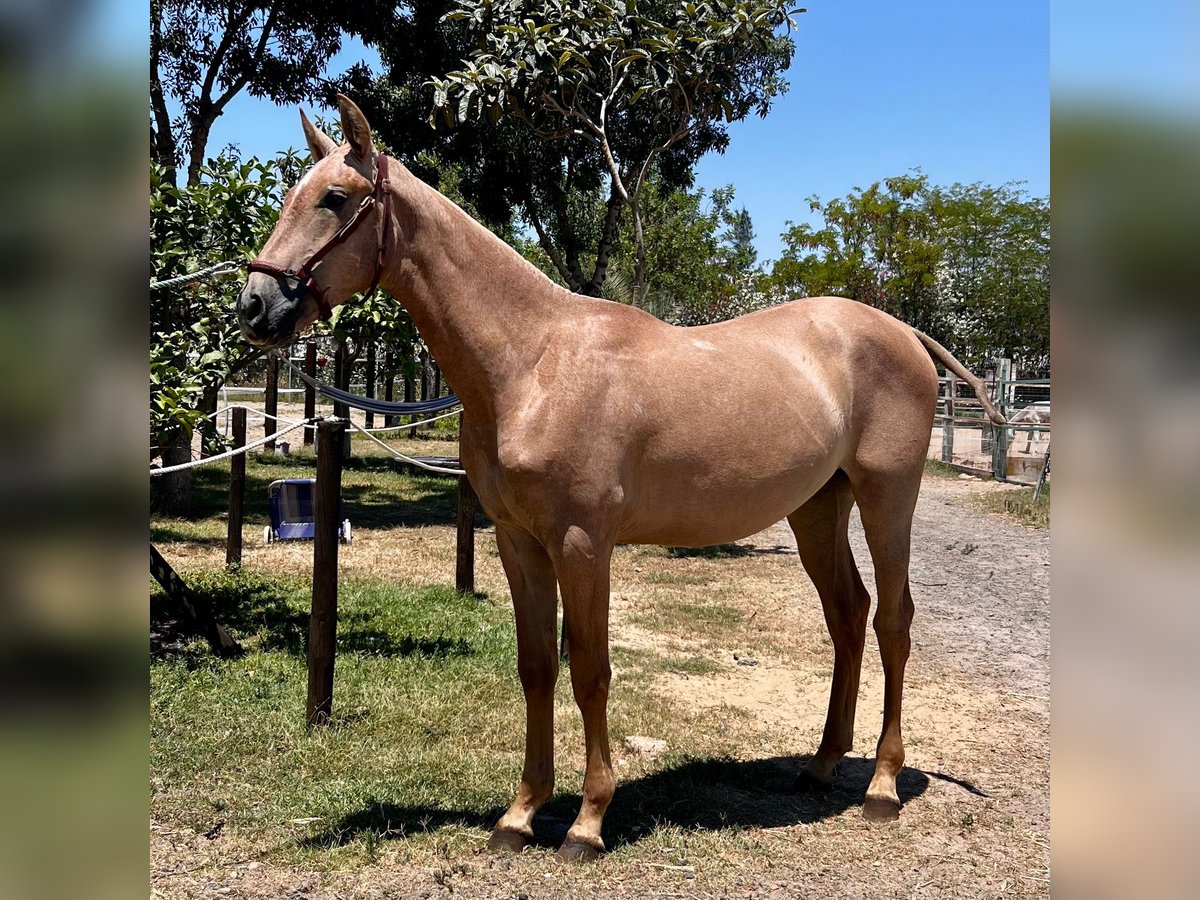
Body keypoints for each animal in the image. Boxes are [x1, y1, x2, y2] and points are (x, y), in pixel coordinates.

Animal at [234, 95, 1003, 864]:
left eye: (335, 198)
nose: (254, 306)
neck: (534, 362)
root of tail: (904, 332)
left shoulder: (583, 545)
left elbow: (590, 672)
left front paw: (587, 820)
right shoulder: (519, 543)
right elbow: (536, 668)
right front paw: (520, 814)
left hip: (886, 500)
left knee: (892, 623)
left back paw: (881, 785)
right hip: (818, 508)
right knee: (847, 616)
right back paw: (819, 766)